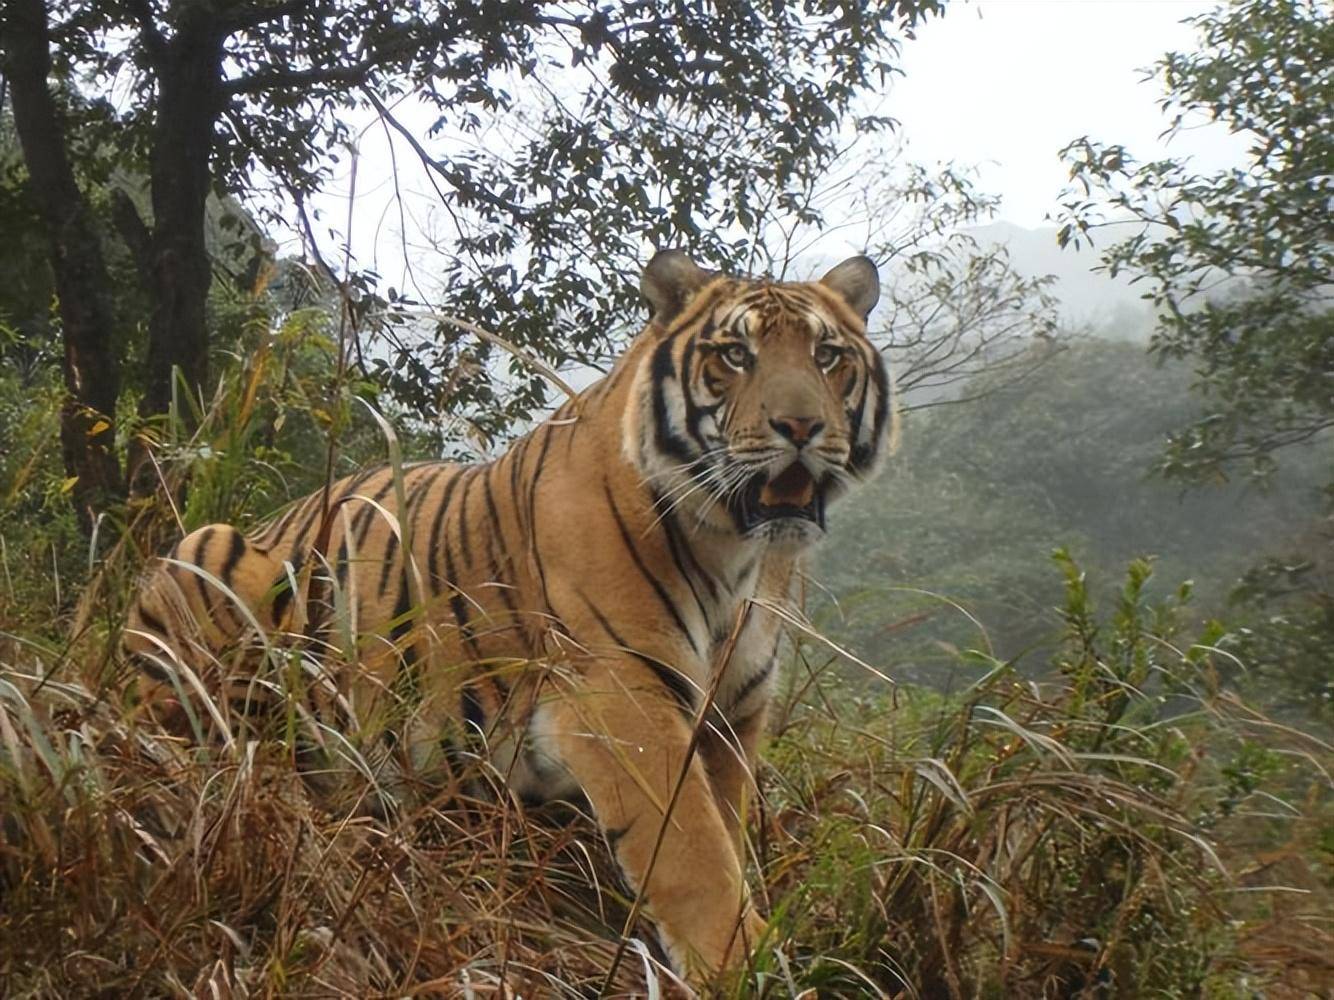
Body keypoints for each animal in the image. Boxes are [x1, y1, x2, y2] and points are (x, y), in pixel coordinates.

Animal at [124, 249, 893, 984]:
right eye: (735, 355)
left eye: (828, 357)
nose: (801, 426)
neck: (739, 554)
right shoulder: (624, 696)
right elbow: (694, 854)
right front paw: (748, 965)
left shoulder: (732, 717)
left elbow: (725, 832)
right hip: (209, 557)